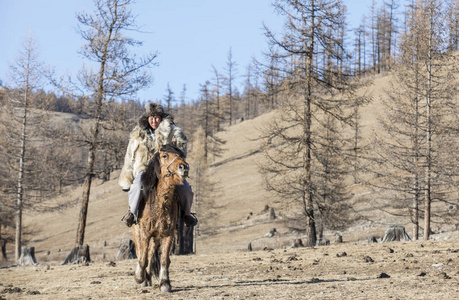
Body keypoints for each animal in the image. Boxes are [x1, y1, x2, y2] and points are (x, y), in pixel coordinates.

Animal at [132, 144, 190, 292]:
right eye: (165, 155)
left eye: (181, 155)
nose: (184, 167)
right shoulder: (144, 233)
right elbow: (142, 258)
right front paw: (139, 278)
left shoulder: (167, 234)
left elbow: (164, 259)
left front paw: (165, 283)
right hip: (137, 233)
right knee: (141, 253)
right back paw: (143, 279)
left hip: (156, 238)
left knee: (151, 254)